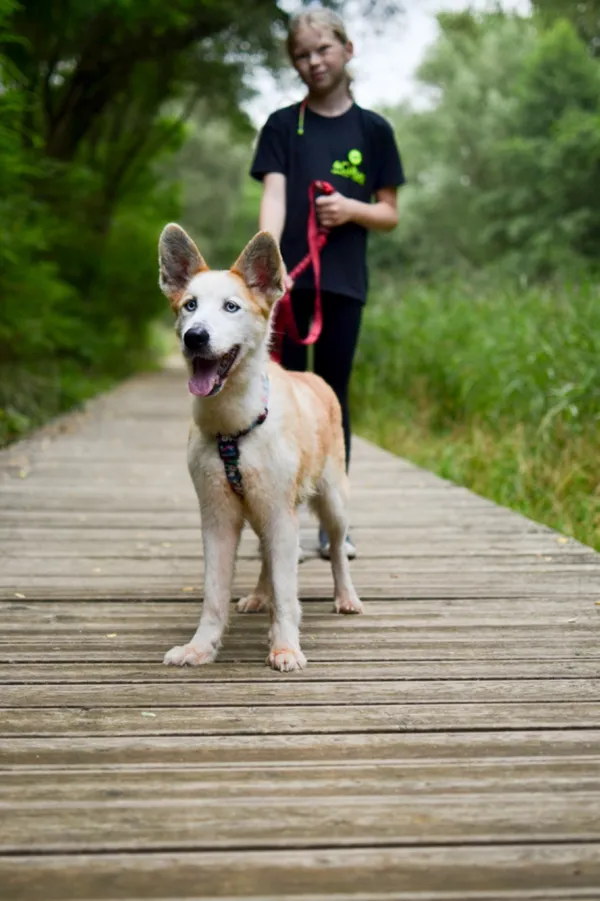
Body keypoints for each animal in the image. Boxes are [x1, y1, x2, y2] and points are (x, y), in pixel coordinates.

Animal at [157, 225, 360, 672]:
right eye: (190, 305)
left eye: (231, 307)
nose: (195, 336)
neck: (233, 427)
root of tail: (312, 378)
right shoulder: (216, 515)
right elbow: (214, 594)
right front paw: (201, 646)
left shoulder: (281, 513)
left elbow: (288, 594)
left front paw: (285, 646)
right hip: (262, 508)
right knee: (269, 557)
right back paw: (259, 594)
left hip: (332, 500)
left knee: (337, 549)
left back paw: (345, 596)